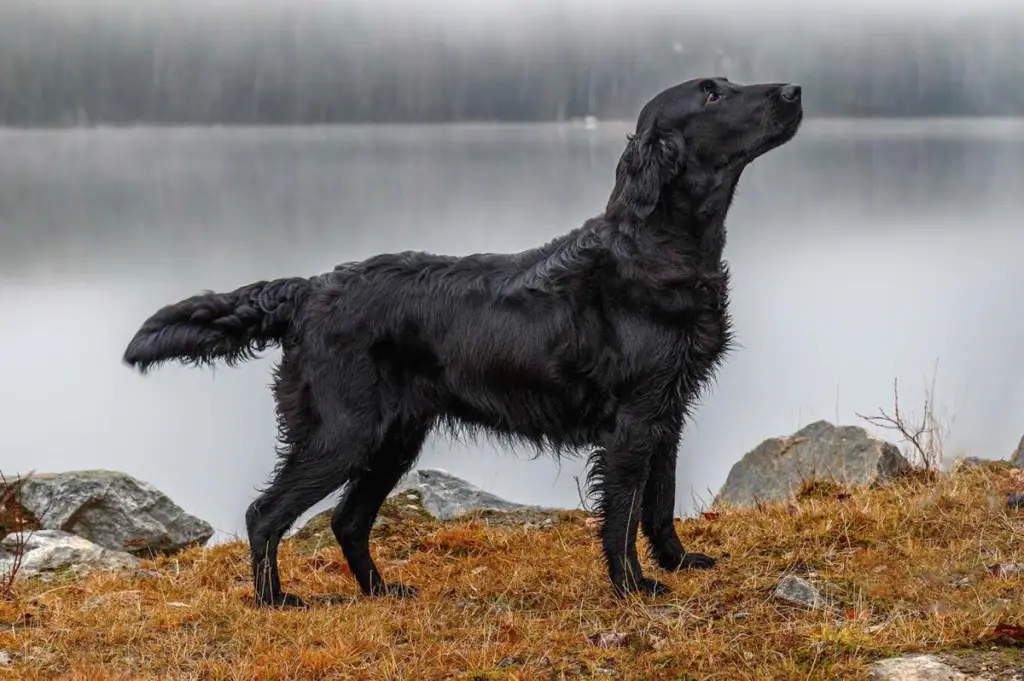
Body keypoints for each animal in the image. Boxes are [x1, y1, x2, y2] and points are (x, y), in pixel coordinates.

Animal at [123, 78, 802, 606]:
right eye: (712, 94)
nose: (794, 90)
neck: (656, 247)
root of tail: (310, 289)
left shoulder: (669, 408)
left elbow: (660, 502)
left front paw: (680, 562)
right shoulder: (633, 421)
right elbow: (623, 513)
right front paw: (633, 586)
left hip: (394, 437)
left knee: (346, 520)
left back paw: (380, 590)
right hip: (346, 432)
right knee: (266, 513)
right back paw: (275, 601)